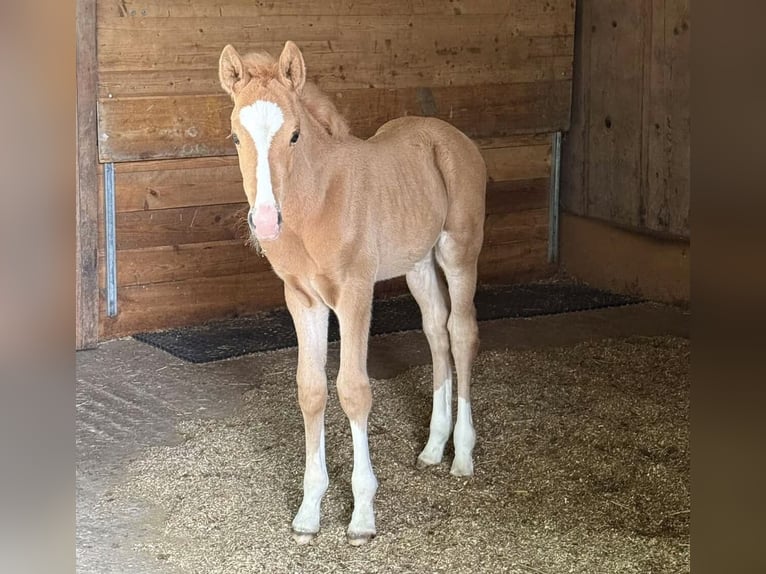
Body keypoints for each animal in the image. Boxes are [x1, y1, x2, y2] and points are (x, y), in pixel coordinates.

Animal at [219, 41, 487, 545]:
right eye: (236, 138)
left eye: (295, 135)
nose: (264, 221)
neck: (320, 203)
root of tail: (450, 135)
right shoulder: (303, 300)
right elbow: (311, 390)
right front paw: (308, 513)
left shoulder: (355, 295)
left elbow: (354, 390)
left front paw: (362, 516)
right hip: (418, 264)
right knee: (435, 331)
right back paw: (433, 447)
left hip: (459, 251)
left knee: (461, 333)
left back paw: (461, 454)